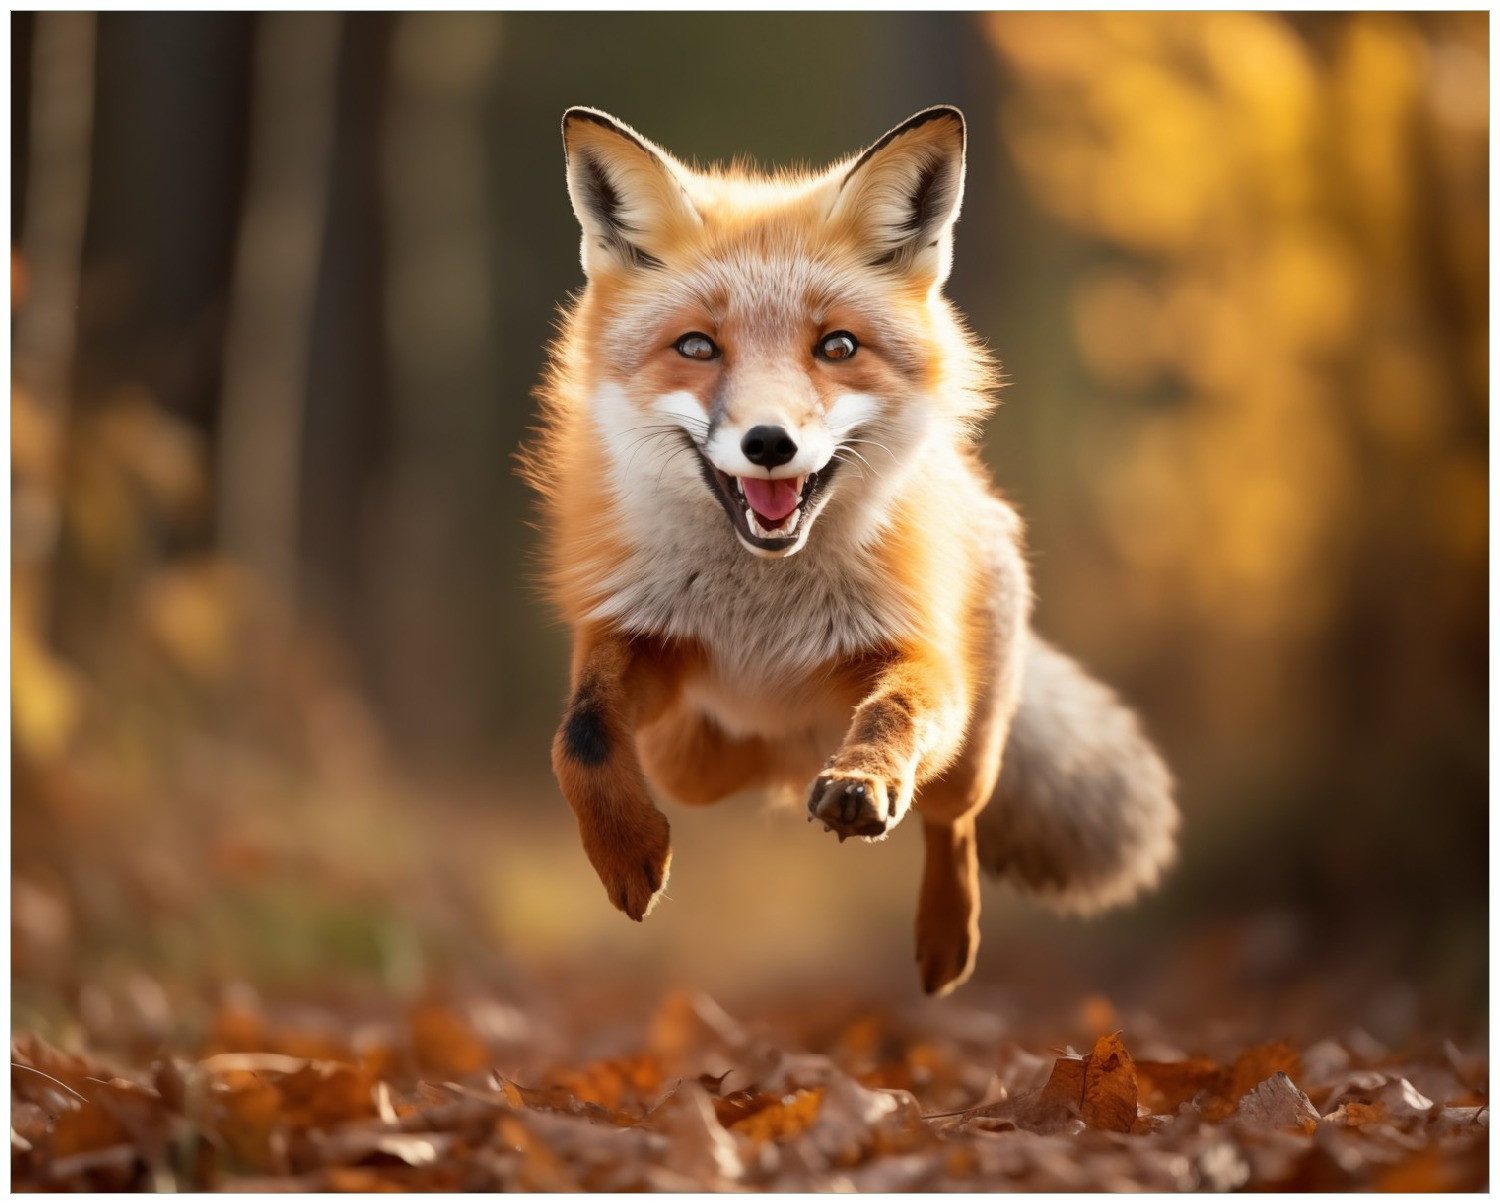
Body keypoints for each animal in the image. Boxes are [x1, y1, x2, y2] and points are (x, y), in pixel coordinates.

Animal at [521, 104, 1178, 996]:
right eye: (697, 347)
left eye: (836, 347)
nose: (769, 443)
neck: (763, 614)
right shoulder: (635, 635)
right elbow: (581, 738)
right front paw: (626, 853)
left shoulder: (918, 653)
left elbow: (894, 715)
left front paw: (863, 780)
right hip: (689, 756)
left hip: (973, 746)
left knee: (953, 818)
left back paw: (945, 939)